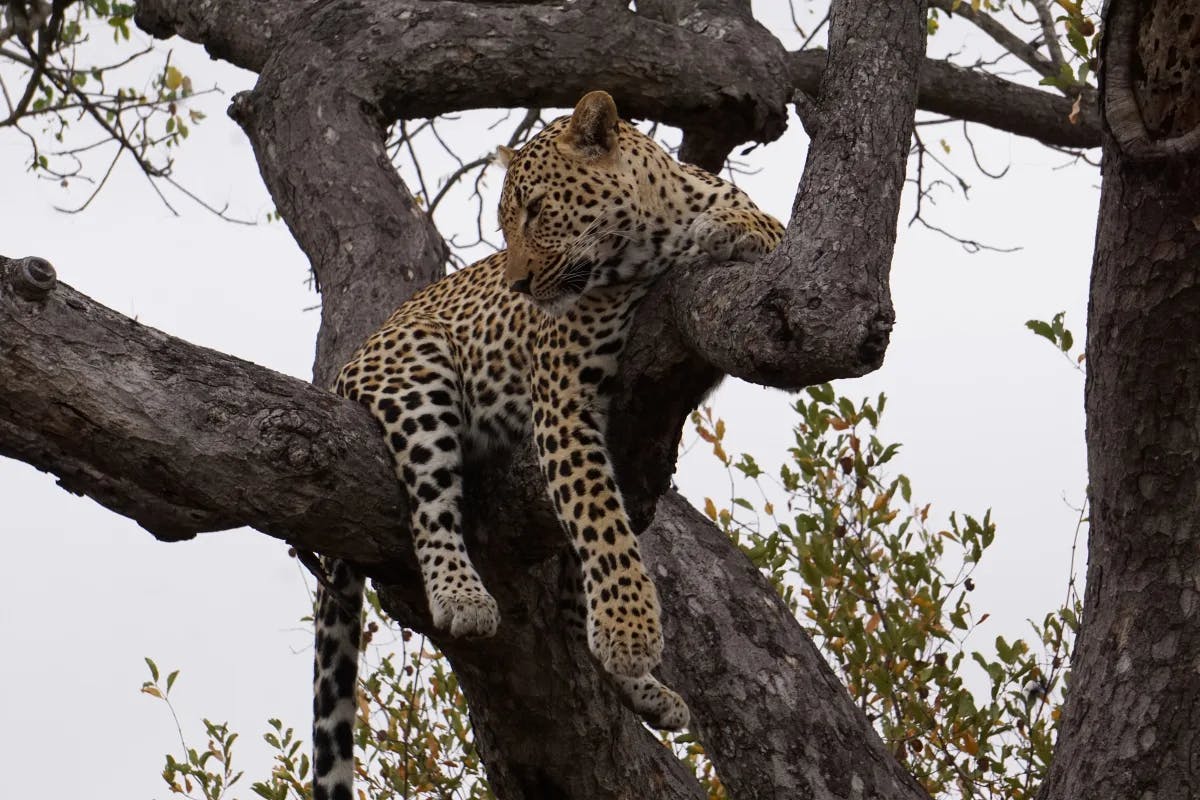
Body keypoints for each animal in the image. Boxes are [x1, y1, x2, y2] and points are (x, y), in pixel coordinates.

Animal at [309, 89, 782, 800]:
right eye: (505, 223)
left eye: (536, 210)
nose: (519, 286)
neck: (654, 234)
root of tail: (347, 367)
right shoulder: (562, 403)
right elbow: (602, 523)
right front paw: (630, 630)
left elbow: (758, 220)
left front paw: (729, 227)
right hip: (417, 372)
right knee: (431, 504)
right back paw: (463, 597)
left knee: (568, 598)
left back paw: (647, 692)